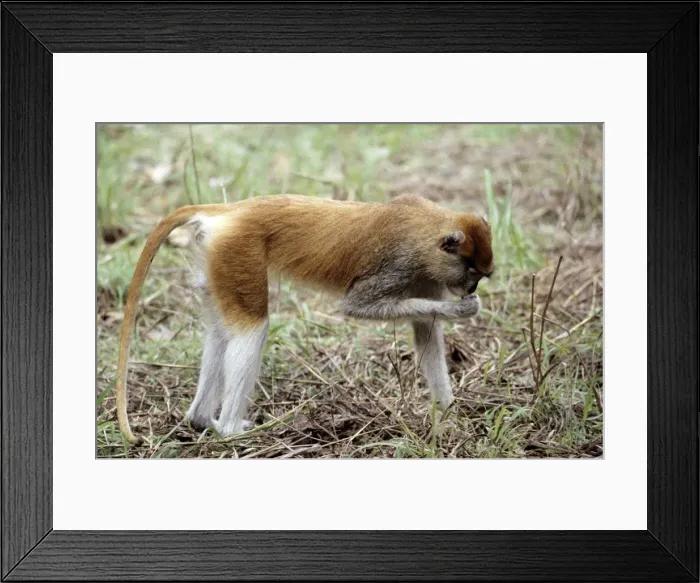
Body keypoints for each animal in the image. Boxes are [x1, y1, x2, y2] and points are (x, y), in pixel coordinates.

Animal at [115, 194, 494, 445]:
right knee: (253, 329)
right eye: (471, 271)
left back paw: (200, 420)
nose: (471, 287)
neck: (427, 228)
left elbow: (426, 332)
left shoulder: (427, 276)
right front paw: (464, 309)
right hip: (239, 250)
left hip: (218, 257)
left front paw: (448, 417)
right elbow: (357, 306)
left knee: (220, 333)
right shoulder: (401, 266)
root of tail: (231, 210)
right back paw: (230, 431)